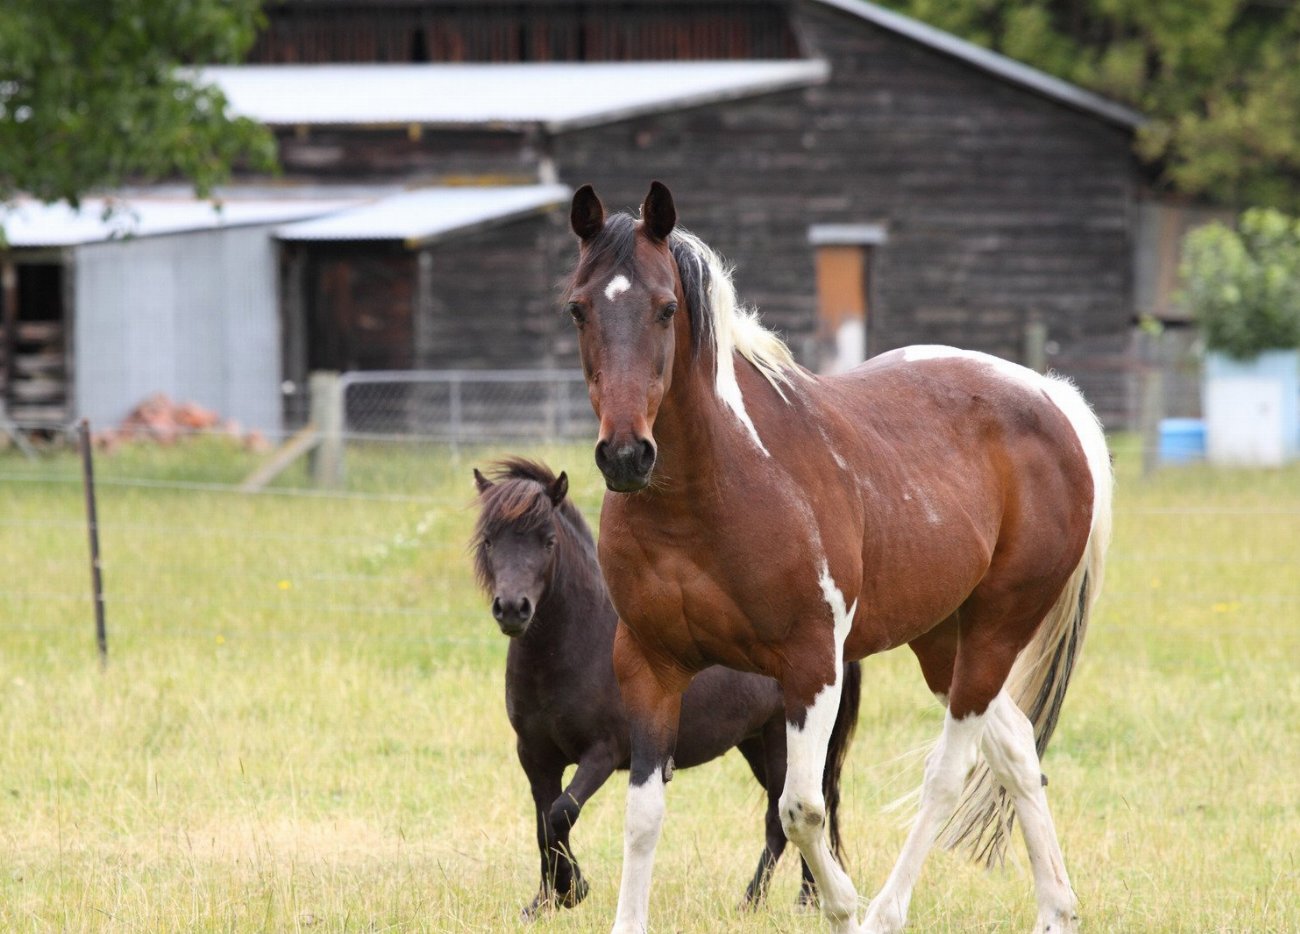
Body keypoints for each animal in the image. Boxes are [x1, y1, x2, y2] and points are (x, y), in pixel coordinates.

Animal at [470, 457, 862, 917]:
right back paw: (790, 898)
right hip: (754, 743)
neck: (576, 644)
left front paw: (571, 890)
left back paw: (775, 901)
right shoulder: (535, 756)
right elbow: (544, 823)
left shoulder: (603, 753)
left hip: (782, 739)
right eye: (490, 541)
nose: (513, 609)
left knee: (787, 815)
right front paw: (546, 900)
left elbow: (561, 813)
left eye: (548, 542)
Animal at [561, 182, 1112, 934]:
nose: (624, 456)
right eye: (579, 308)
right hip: (941, 639)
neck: (710, 492)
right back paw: (1056, 908)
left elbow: (801, 808)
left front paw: (842, 905)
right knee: (1017, 748)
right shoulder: (649, 665)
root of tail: (1051, 398)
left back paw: (884, 911)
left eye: (666, 308)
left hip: (996, 630)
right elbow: (643, 816)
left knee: (949, 770)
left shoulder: (812, 666)